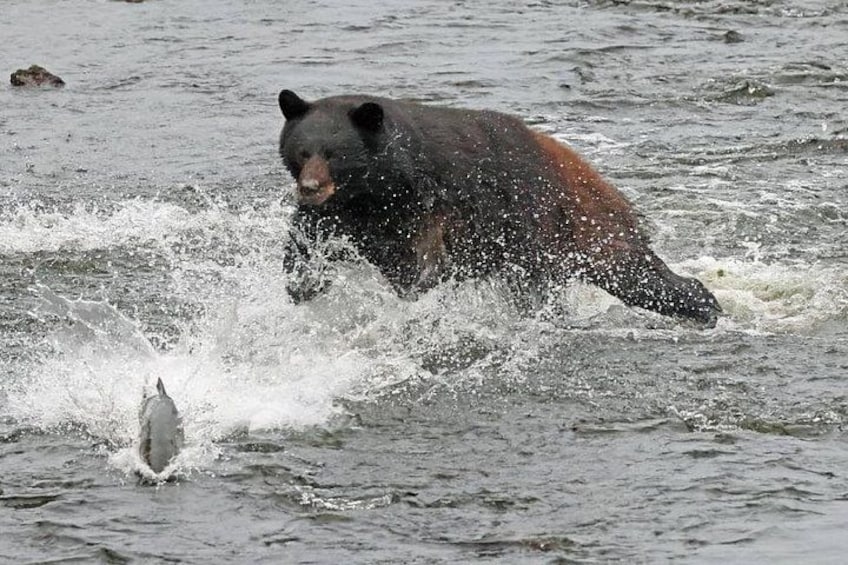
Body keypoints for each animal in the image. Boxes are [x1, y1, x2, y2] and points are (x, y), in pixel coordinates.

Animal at [277, 90, 721, 326]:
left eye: (334, 154)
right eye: (303, 151)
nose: (310, 187)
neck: (379, 187)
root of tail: (597, 177)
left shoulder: (433, 201)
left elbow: (421, 258)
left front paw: (416, 284)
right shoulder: (344, 212)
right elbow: (306, 238)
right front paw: (303, 284)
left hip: (575, 226)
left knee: (635, 273)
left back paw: (706, 304)